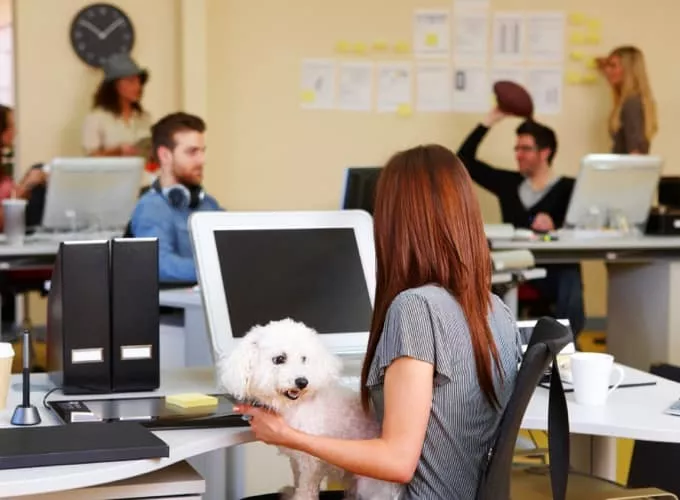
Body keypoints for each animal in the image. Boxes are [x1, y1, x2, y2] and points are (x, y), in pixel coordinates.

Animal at [220, 318, 404, 498]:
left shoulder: (311, 462)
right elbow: (297, 477)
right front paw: (291, 493)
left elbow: (306, 488)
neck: (294, 406)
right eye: (279, 359)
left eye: (304, 359)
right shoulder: (296, 458)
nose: (302, 381)